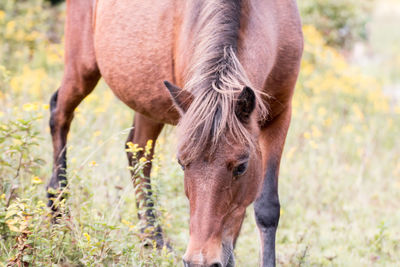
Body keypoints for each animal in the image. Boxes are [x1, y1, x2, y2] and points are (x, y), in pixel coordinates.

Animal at [47, 1, 304, 266]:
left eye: (242, 167)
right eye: (181, 164)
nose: (200, 261)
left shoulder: (279, 116)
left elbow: (265, 207)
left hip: (147, 101)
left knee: (137, 152)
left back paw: (153, 240)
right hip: (81, 69)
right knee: (59, 114)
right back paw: (58, 210)